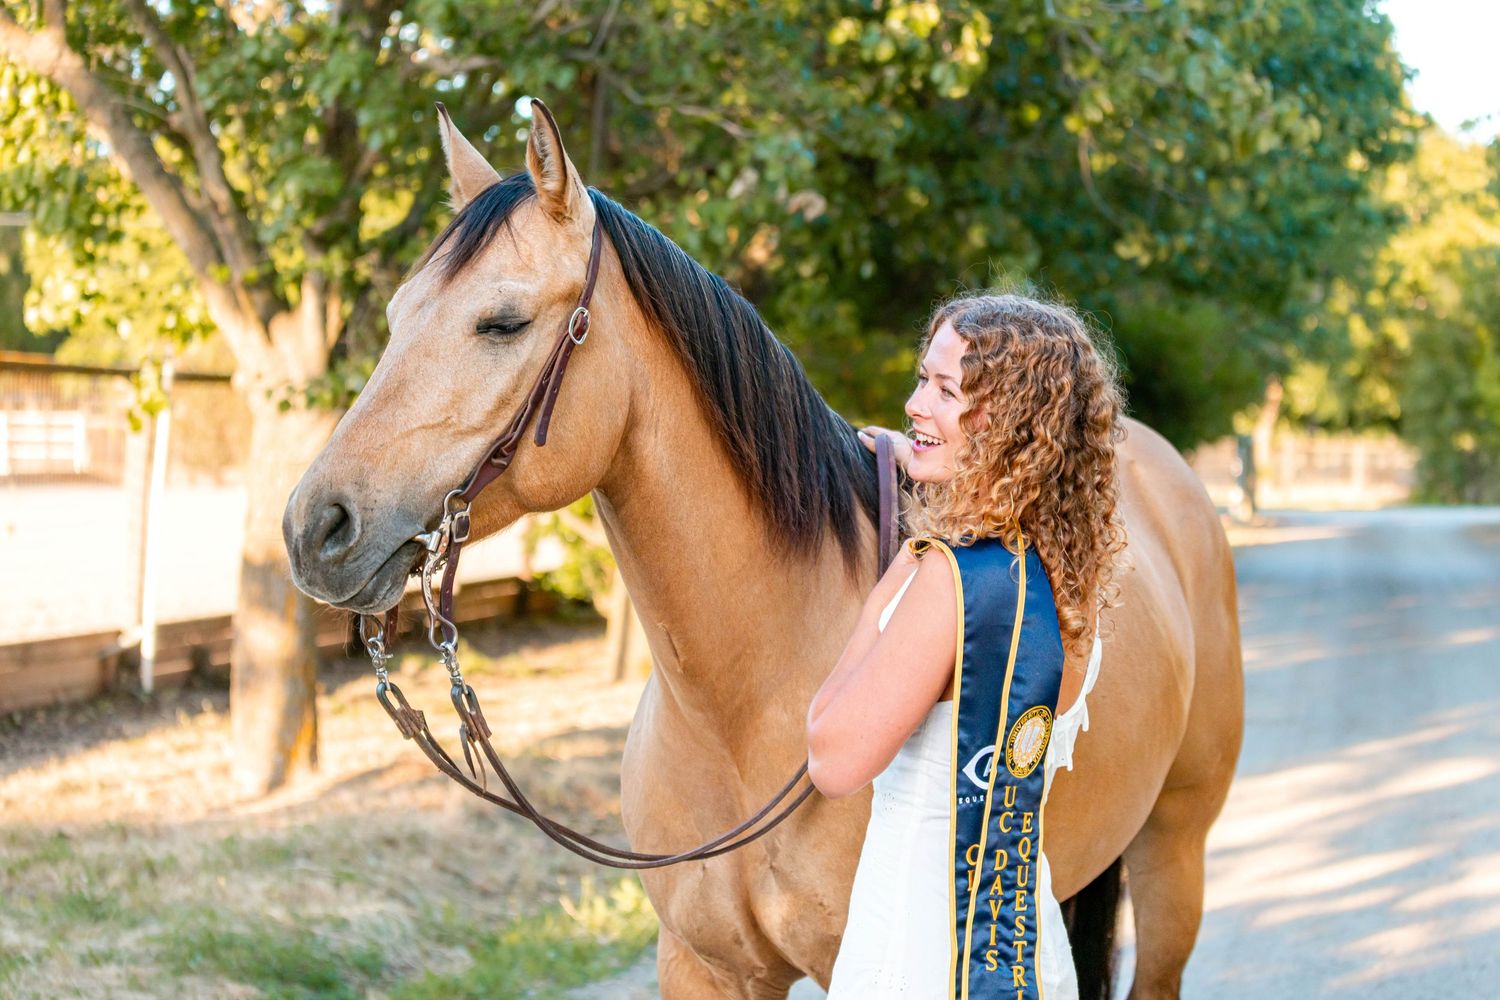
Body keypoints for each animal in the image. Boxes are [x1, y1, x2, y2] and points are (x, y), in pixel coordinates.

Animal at [282, 100, 1243, 1000]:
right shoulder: (705, 965)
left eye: (502, 322)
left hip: (1173, 857)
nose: (314, 528)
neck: (741, 706)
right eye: (397, 314)